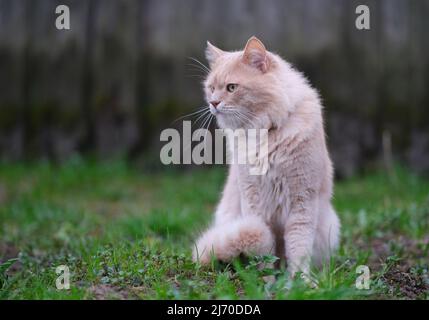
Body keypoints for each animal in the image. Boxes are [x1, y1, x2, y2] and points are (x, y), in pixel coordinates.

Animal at [192, 37, 340, 278]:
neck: (265, 133)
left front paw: (300, 281)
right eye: (211, 88)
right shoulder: (254, 201)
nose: (213, 103)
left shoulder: (302, 203)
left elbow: (298, 248)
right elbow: (264, 248)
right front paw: (265, 280)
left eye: (231, 87)